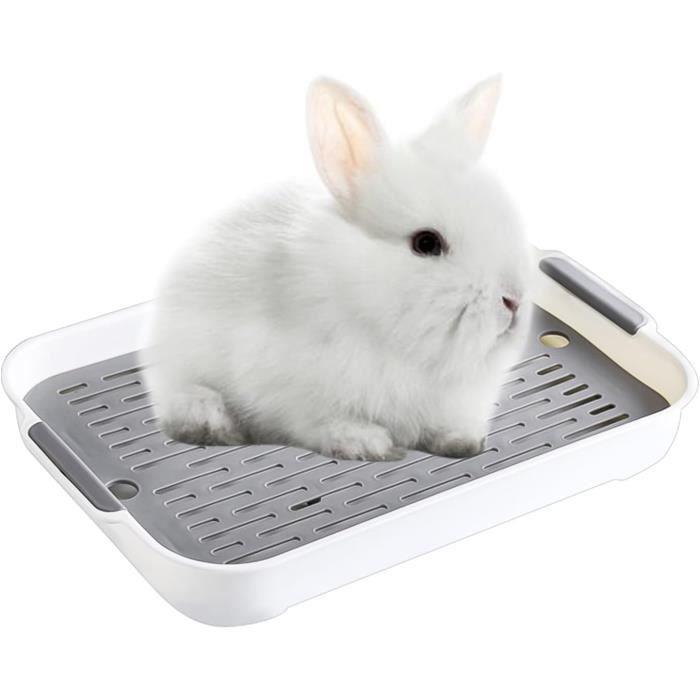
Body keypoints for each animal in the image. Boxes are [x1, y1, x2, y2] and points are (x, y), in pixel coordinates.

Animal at [147, 75, 533, 461]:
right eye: (427, 243)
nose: (512, 300)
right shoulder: (293, 396)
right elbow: (325, 423)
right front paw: (367, 443)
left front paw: (463, 442)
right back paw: (211, 422)